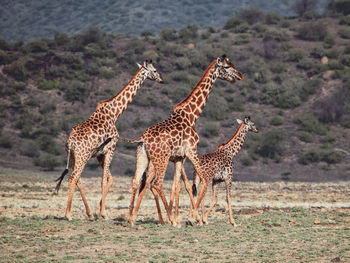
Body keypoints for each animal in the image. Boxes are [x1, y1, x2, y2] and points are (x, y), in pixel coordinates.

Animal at [54, 60, 164, 221]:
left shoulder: (100, 154)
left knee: (78, 179)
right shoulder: (111, 148)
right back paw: (68, 215)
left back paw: (89, 213)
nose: (161, 80)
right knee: (73, 178)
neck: (115, 113)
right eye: (155, 70)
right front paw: (103, 213)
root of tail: (71, 142)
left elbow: (109, 179)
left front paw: (98, 211)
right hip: (82, 156)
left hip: (73, 157)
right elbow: (104, 180)